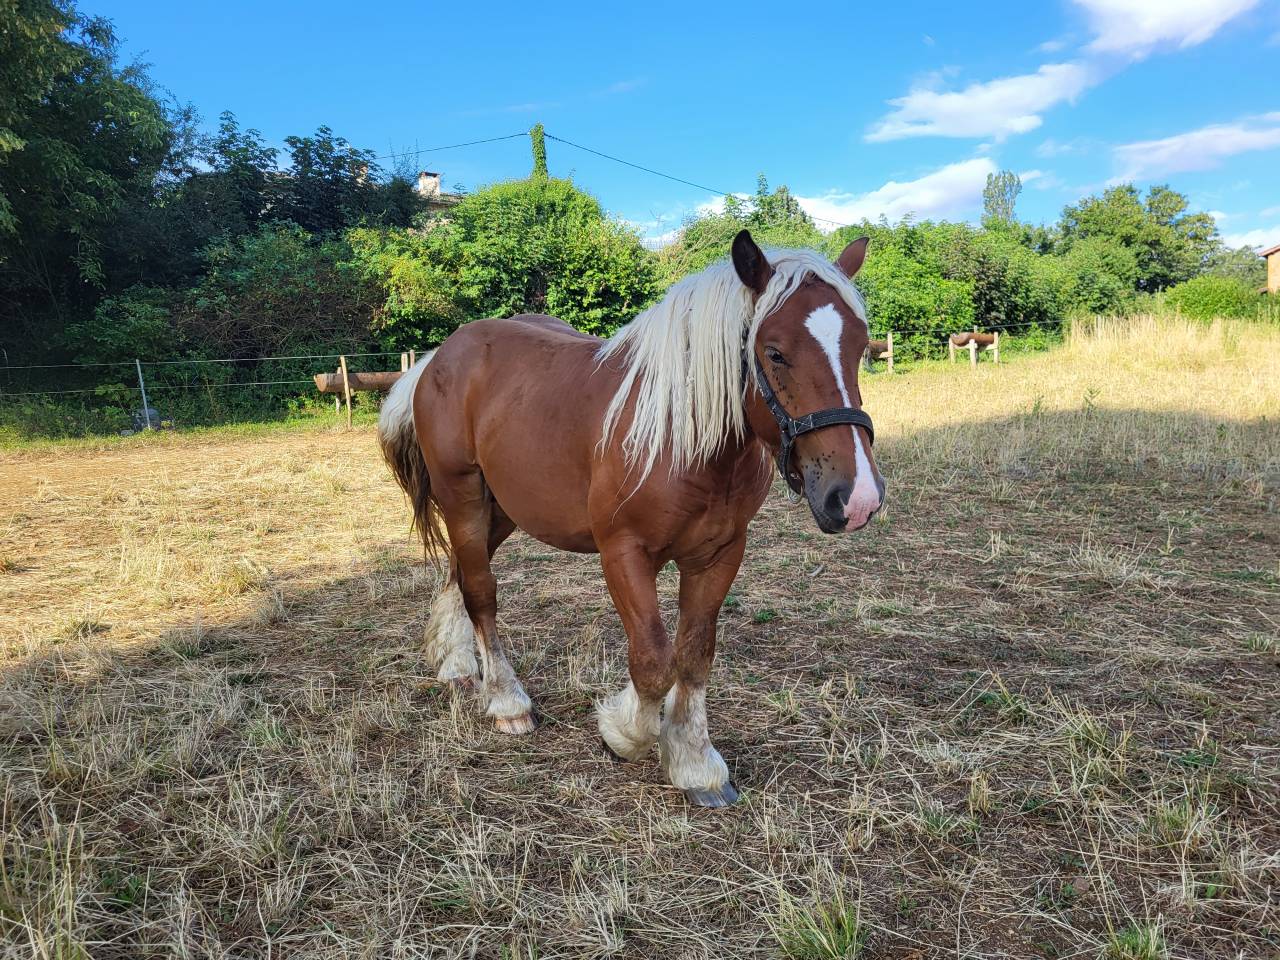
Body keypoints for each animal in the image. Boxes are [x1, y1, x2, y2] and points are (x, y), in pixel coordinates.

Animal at [378, 230, 884, 807]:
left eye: (861, 348)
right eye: (774, 352)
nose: (857, 497)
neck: (681, 437)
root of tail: (440, 357)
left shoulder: (719, 554)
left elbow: (694, 654)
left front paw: (693, 762)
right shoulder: (624, 554)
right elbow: (653, 662)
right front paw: (624, 732)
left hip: (503, 509)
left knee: (460, 573)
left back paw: (457, 664)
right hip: (462, 496)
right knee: (480, 590)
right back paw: (506, 701)